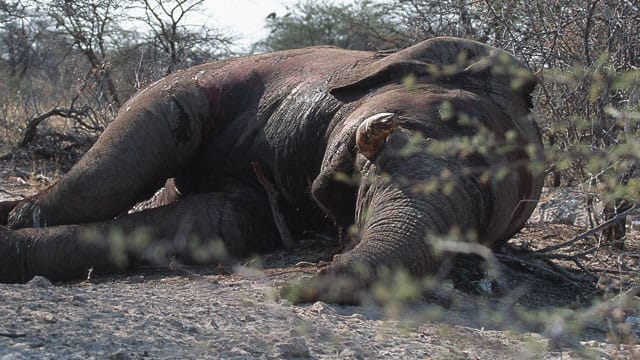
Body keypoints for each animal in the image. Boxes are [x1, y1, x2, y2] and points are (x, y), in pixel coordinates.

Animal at [0, 36, 544, 302]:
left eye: (480, 223)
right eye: (449, 122)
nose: (297, 286)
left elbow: (209, 223)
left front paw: (10, 242)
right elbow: (154, 120)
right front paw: (15, 217)